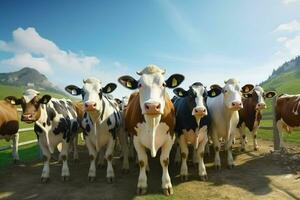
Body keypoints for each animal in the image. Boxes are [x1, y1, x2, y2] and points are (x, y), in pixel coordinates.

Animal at [118, 64, 184, 195]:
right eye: (139, 85)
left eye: (164, 84)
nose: (152, 106)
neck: (153, 122)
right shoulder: (136, 139)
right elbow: (142, 160)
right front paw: (142, 184)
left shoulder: (170, 137)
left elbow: (165, 160)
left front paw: (167, 185)